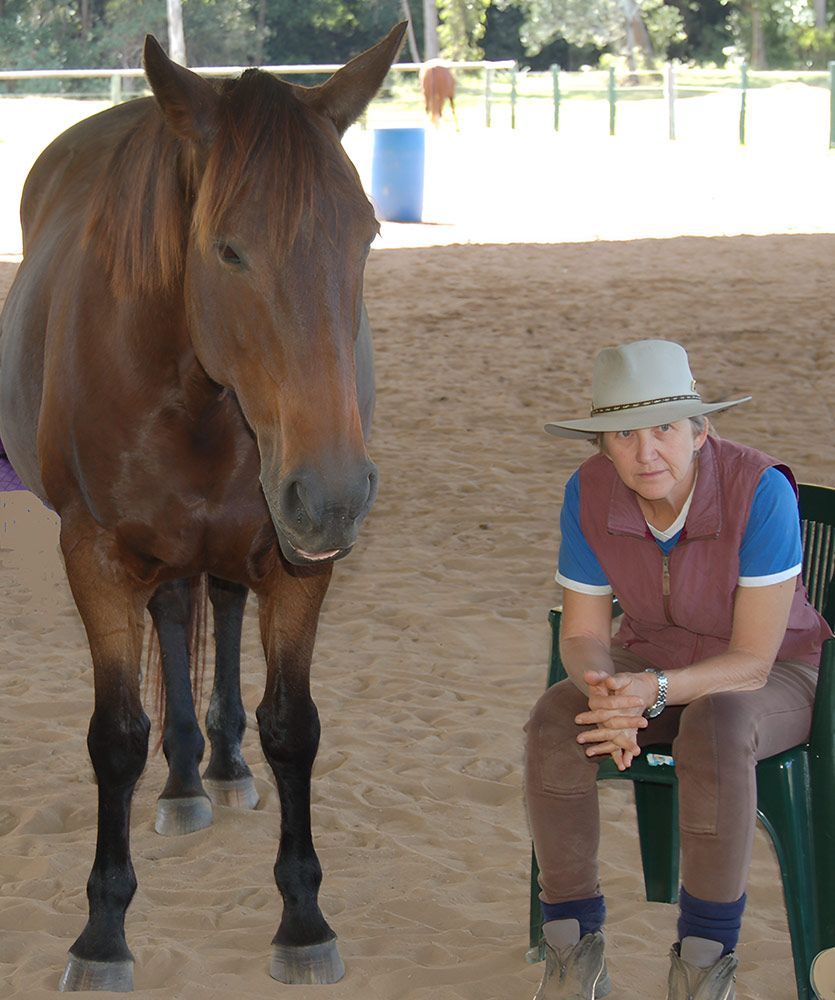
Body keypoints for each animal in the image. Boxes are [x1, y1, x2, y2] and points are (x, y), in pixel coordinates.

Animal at [0, 21, 406, 992]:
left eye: (367, 235)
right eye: (226, 249)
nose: (333, 493)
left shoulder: (297, 564)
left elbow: (293, 727)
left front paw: (303, 919)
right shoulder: (95, 556)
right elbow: (116, 736)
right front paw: (102, 932)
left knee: (213, 606)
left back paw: (217, 764)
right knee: (180, 617)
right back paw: (185, 776)